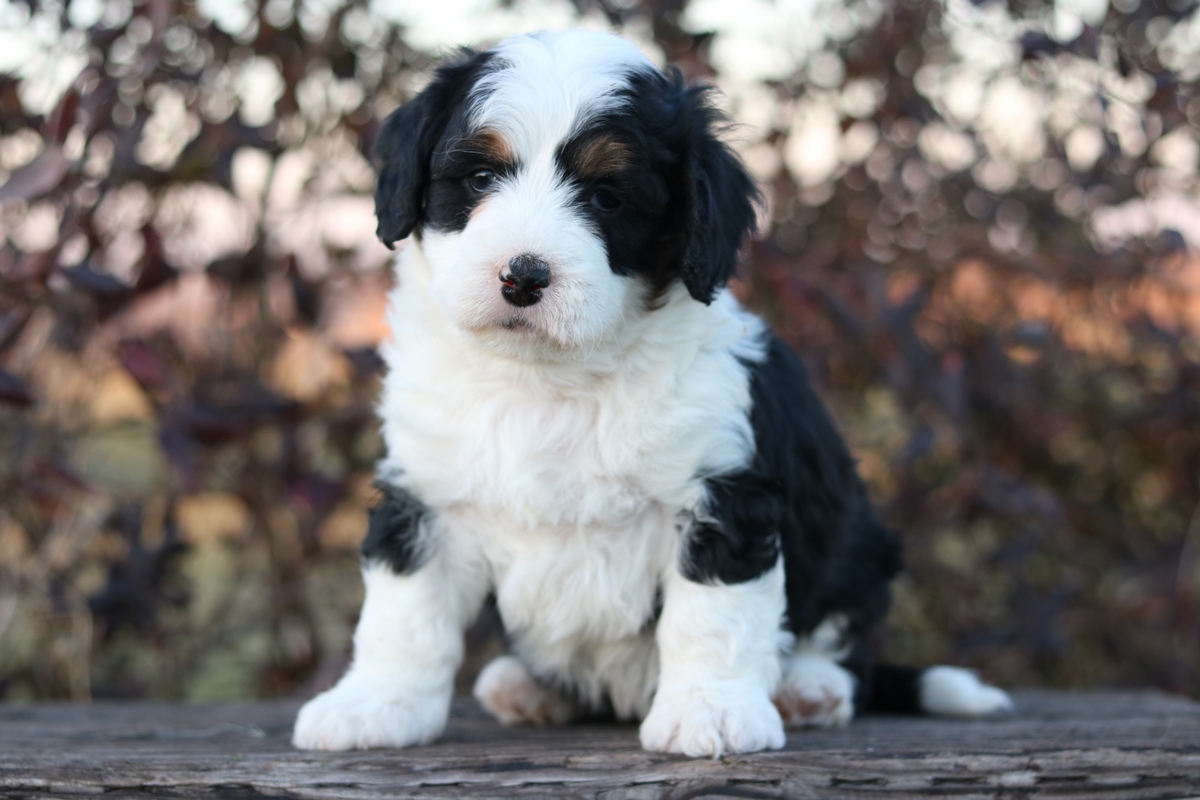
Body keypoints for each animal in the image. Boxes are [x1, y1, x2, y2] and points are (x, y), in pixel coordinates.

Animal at [292, 29, 1012, 758]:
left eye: (607, 199)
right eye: (480, 178)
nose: (522, 278)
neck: (549, 377)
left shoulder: (723, 493)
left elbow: (713, 613)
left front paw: (710, 711)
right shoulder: (425, 496)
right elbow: (405, 611)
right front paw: (376, 704)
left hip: (857, 545)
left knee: (845, 644)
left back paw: (810, 688)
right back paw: (526, 688)